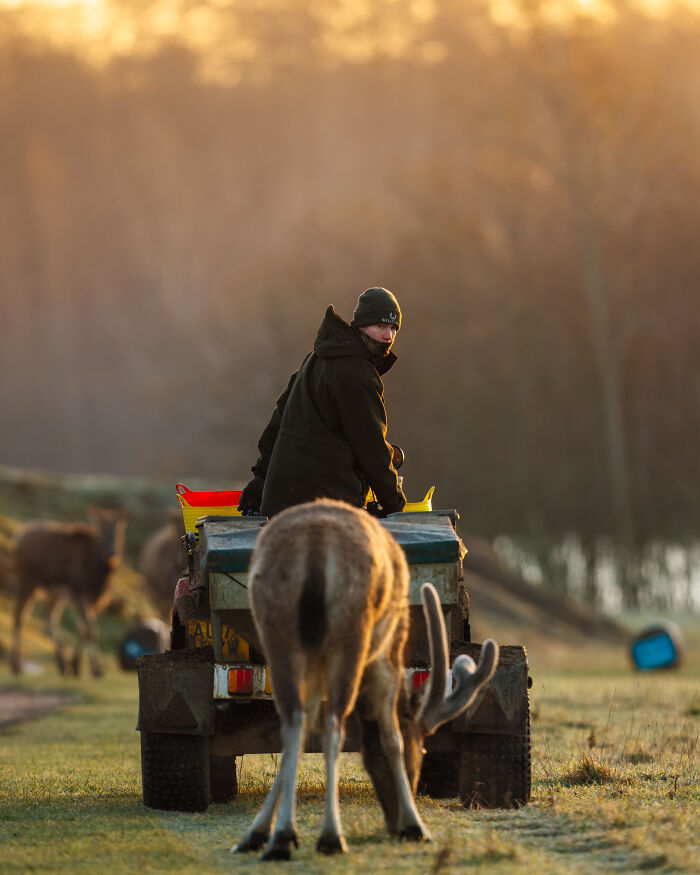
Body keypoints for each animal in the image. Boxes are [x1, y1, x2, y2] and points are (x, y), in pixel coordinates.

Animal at [10, 507, 127, 678]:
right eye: (102, 530)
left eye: (118, 532)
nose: (112, 555)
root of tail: (19, 535)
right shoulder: (80, 595)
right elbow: (91, 630)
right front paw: (95, 669)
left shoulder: (87, 600)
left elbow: (85, 629)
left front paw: (75, 665)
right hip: (27, 581)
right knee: (19, 617)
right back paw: (16, 665)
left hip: (54, 594)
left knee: (48, 619)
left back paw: (61, 663)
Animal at [233, 499, 498, 861]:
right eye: (421, 749)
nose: (393, 823)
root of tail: (316, 543)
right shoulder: (385, 658)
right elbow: (391, 737)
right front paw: (416, 826)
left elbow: (303, 731)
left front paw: (258, 833)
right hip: (352, 633)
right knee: (334, 723)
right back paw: (331, 836)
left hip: (278, 629)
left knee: (294, 720)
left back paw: (281, 838)